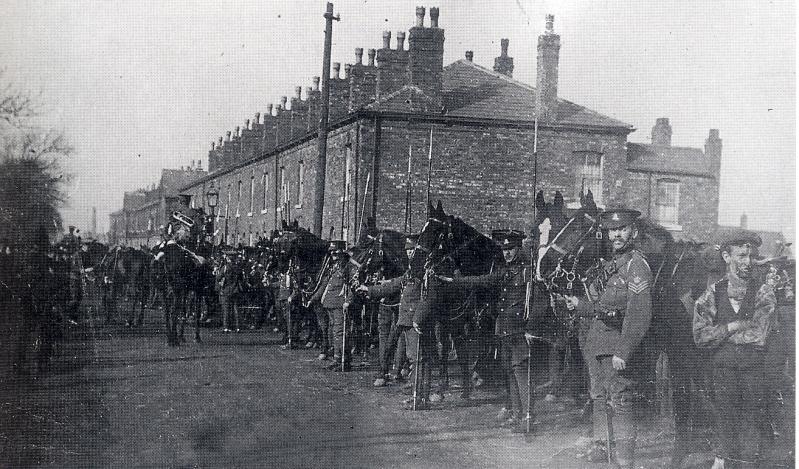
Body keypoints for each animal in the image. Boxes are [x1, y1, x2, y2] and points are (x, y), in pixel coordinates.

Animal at [416, 199, 504, 396]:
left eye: (437, 231)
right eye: (422, 229)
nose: (414, 264)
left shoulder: (480, 320)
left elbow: (477, 346)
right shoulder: (454, 320)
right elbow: (451, 346)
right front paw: (443, 384)